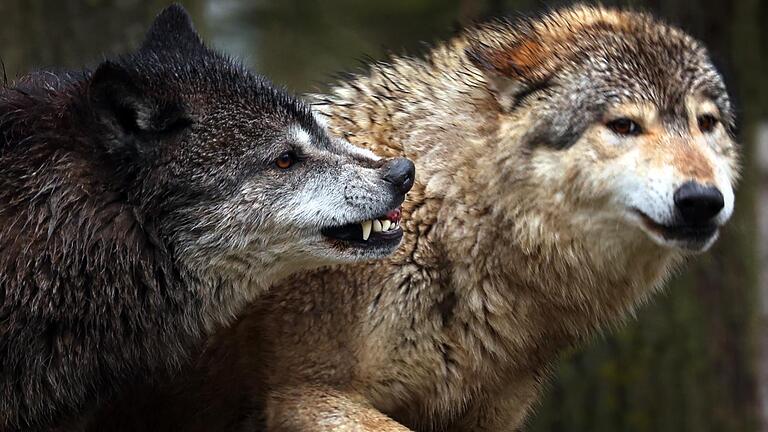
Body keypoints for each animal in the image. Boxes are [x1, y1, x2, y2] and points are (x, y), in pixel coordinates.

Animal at [88, 4, 736, 432]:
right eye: (624, 125)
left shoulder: (485, 417)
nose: (702, 199)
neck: (446, 211)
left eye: (706, 124)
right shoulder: (306, 393)